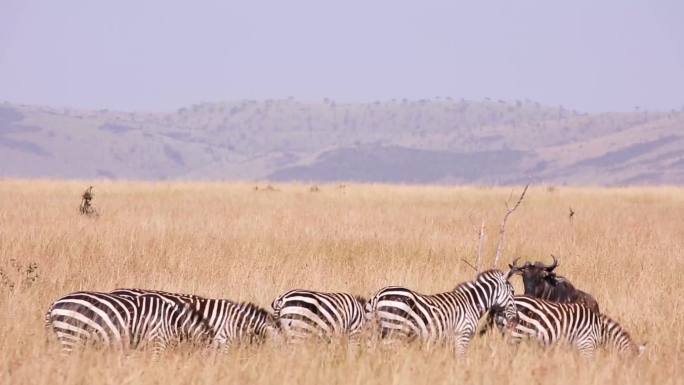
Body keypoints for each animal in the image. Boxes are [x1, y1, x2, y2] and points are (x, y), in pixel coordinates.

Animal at [366, 268, 516, 352]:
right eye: (513, 292)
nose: (515, 318)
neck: (472, 303)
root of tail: (377, 295)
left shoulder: (448, 340)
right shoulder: (463, 335)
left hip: (376, 331)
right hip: (394, 331)